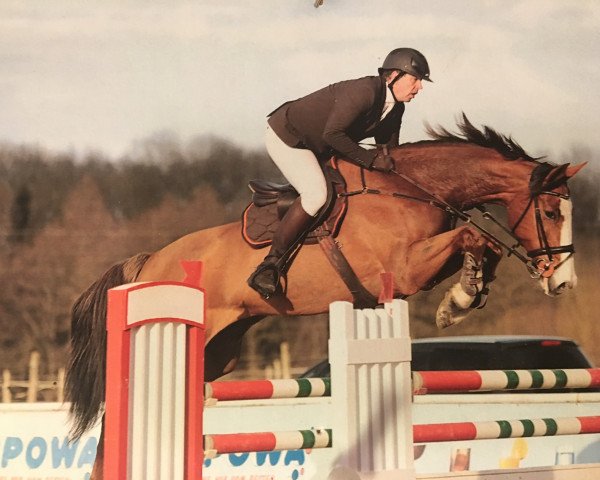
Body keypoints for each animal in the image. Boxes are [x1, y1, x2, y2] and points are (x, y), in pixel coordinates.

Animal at [67, 115, 584, 476]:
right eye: (551, 211)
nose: (562, 282)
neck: (411, 190)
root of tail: (152, 261)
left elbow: (483, 244)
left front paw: (464, 294)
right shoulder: (402, 270)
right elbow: (470, 237)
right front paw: (460, 299)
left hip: (217, 355)